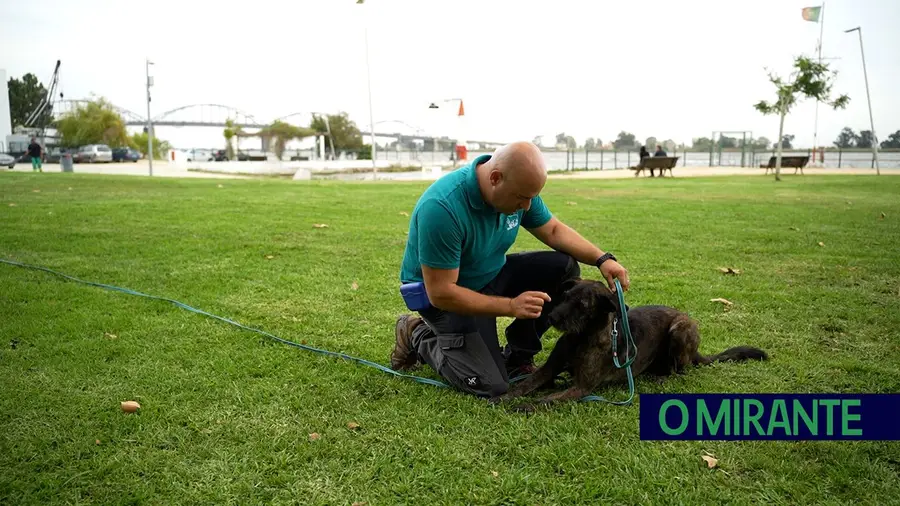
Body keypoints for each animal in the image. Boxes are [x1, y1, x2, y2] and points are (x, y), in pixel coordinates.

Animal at [488, 276, 768, 412]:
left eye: (583, 305)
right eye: (565, 296)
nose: (552, 317)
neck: (581, 337)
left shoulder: (582, 387)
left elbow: (546, 400)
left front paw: (525, 406)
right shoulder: (548, 370)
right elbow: (524, 385)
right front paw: (504, 397)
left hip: (681, 329)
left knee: (681, 370)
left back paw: (663, 377)